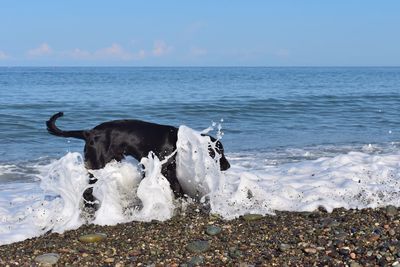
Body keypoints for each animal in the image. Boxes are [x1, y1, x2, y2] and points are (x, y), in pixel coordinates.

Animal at [45, 113, 230, 209]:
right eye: (219, 152)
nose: (228, 166)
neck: (178, 141)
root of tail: (89, 132)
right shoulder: (158, 167)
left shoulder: (167, 170)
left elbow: (177, 187)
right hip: (97, 166)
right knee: (87, 191)